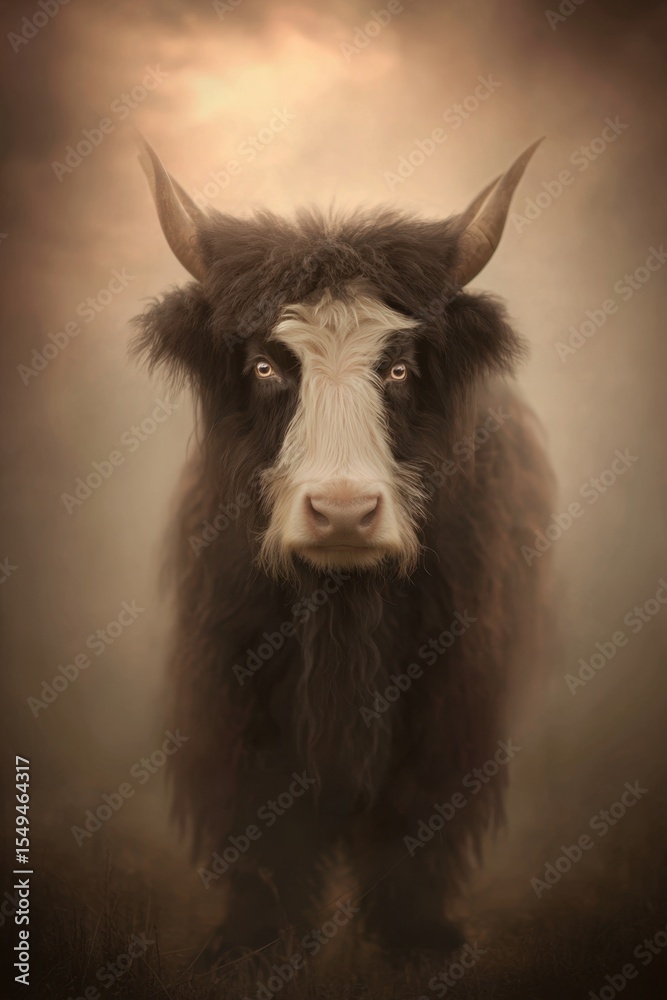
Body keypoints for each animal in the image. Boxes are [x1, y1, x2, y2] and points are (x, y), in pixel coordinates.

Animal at [131, 136, 555, 960]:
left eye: (398, 367)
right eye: (266, 366)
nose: (342, 515)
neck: (341, 614)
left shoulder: (451, 683)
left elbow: (416, 812)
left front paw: (415, 939)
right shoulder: (230, 677)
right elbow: (256, 815)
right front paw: (252, 940)